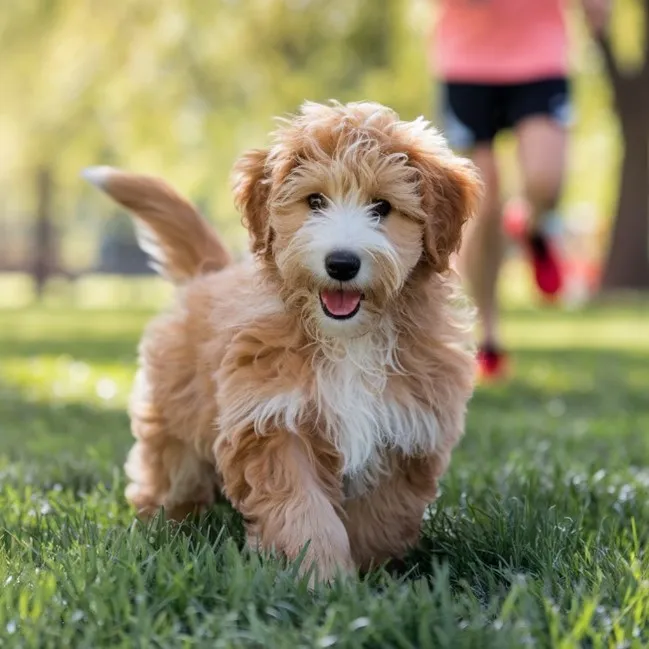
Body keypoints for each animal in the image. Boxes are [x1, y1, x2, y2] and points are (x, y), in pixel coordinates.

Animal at [83, 100, 480, 584]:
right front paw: (321, 578)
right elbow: (301, 510)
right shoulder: (274, 421)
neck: (348, 340)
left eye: (382, 207)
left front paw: (368, 576)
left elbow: (379, 516)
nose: (342, 263)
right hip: (177, 414)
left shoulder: (404, 431)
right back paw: (163, 522)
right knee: (171, 471)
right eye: (315, 201)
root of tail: (210, 273)